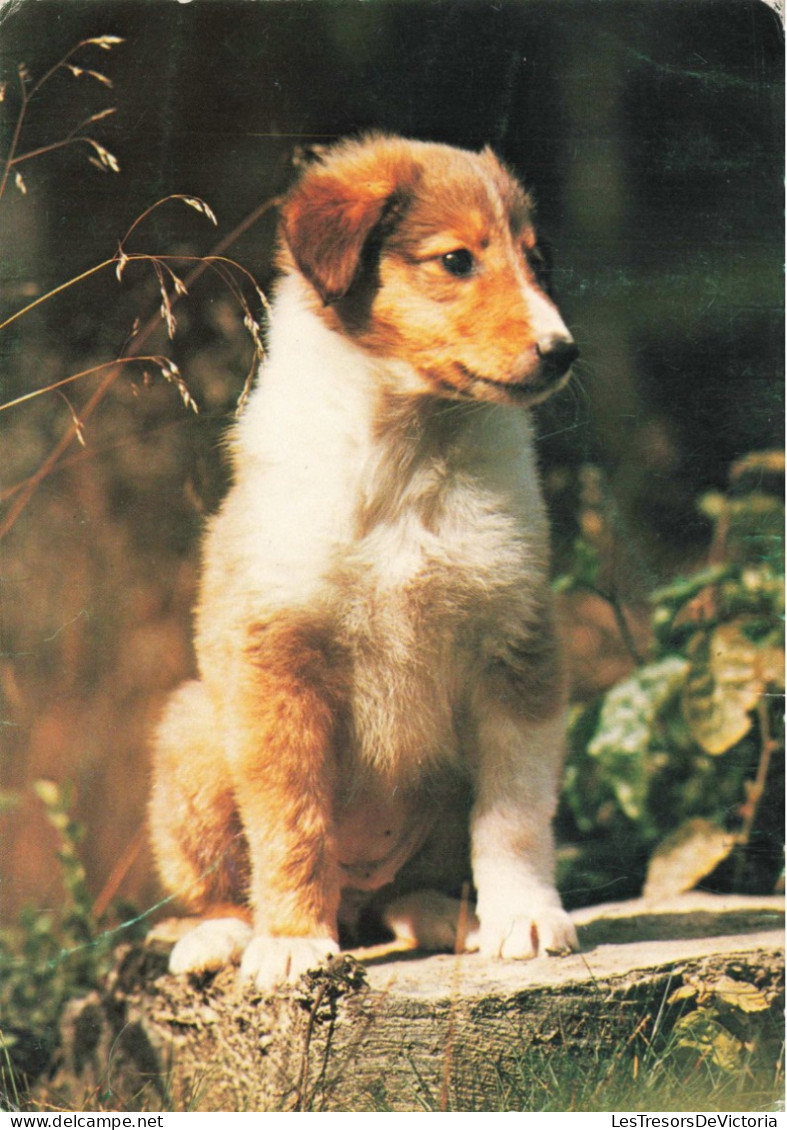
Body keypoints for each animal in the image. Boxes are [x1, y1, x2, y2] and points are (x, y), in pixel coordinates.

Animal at [149, 132, 578, 985]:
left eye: (535, 260)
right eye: (455, 260)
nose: (563, 352)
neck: (410, 457)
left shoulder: (515, 649)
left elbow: (513, 814)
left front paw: (524, 918)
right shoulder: (277, 661)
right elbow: (291, 822)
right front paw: (290, 942)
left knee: (400, 894)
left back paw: (448, 916)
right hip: (192, 731)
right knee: (224, 888)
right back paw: (225, 936)